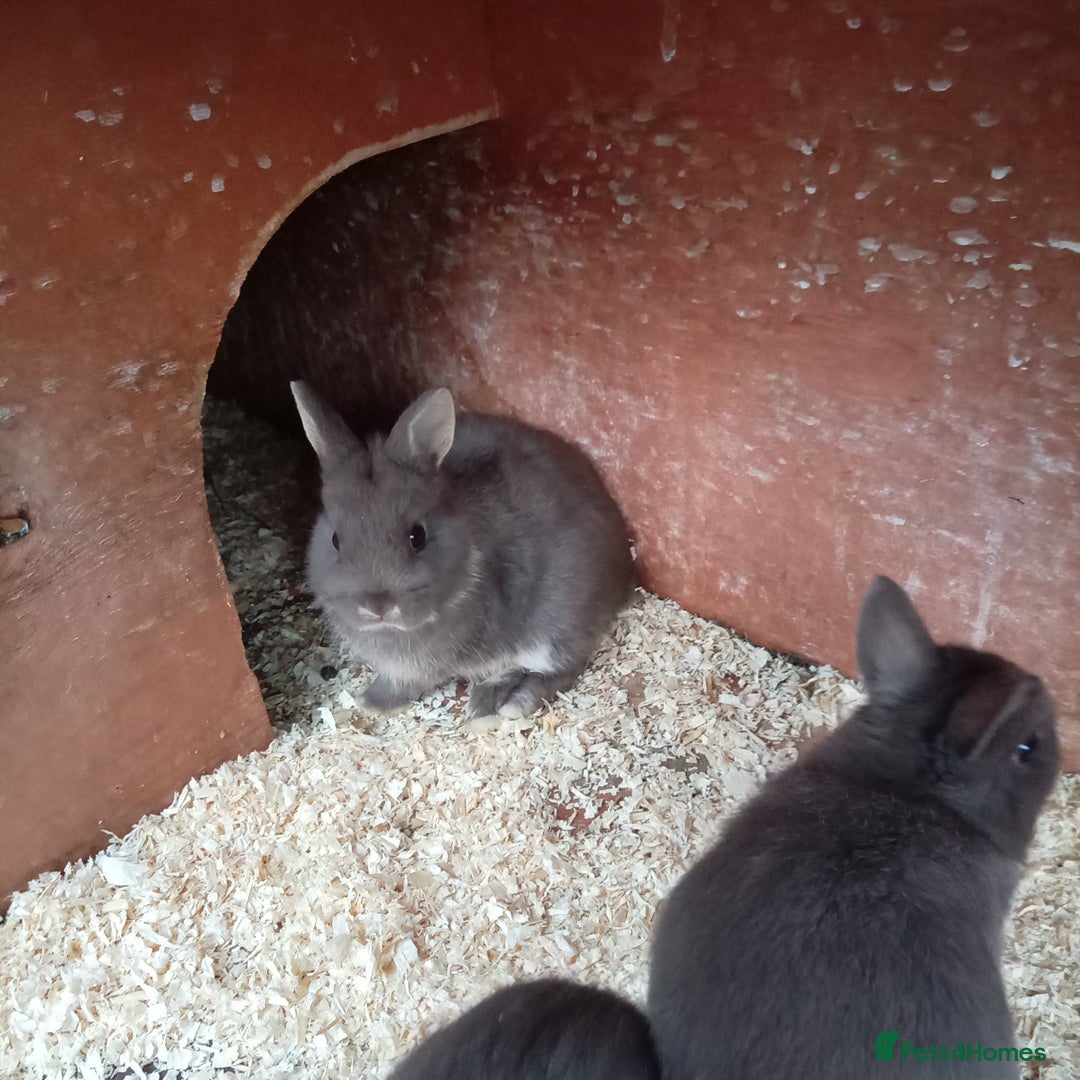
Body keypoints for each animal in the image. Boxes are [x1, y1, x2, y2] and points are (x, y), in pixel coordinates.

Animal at [291, 382, 635, 719]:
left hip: (555, 625)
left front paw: (372, 703)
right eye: (336, 539)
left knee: (563, 668)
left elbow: (408, 683)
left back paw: (507, 704)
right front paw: (370, 701)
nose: (378, 606)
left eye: (417, 536)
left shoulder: (424, 665)